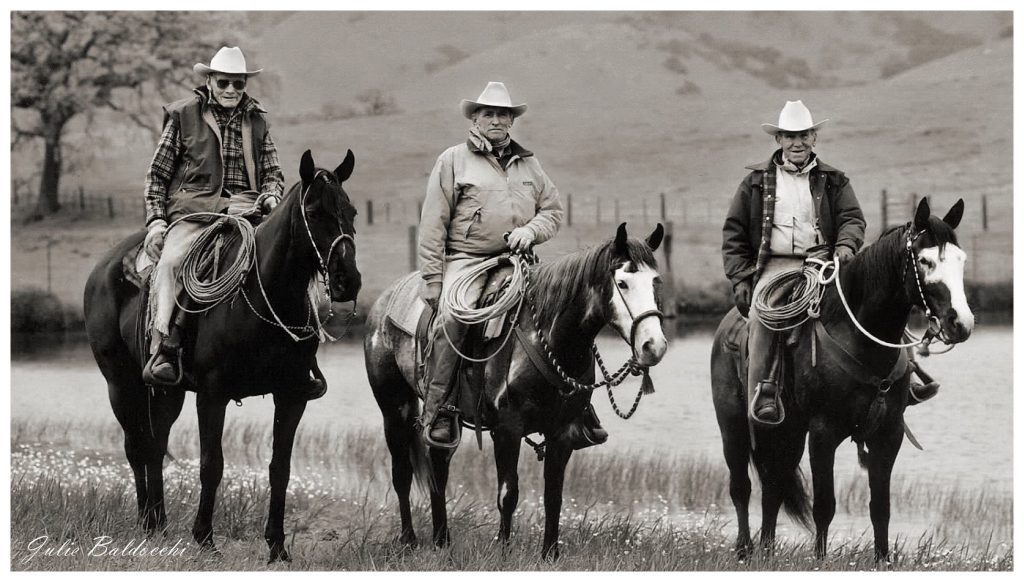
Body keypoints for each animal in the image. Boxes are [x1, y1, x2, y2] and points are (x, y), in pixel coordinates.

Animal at [84, 149, 364, 565]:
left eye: (352, 211)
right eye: (313, 212)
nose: (349, 281)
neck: (264, 297)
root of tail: (104, 267)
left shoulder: (292, 395)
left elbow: (280, 468)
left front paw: (277, 546)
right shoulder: (212, 395)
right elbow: (211, 465)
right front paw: (204, 538)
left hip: (167, 392)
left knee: (155, 444)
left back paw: (160, 523)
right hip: (120, 384)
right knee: (136, 447)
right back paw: (146, 523)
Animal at [364, 224, 667, 557]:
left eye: (656, 281)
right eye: (623, 283)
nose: (654, 346)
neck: (548, 338)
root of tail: (384, 302)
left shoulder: (562, 433)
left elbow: (553, 496)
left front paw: (550, 554)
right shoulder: (507, 429)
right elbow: (508, 493)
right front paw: (503, 549)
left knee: (438, 467)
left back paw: (442, 539)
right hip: (394, 408)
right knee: (402, 473)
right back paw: (409, 539)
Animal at [708, 197, 970, 561]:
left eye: (961, 260)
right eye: (926, 260)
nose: (961, 323)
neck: (860, 337)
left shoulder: (889, 434)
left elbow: (881, 507)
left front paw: (882, 560)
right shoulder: (823, 432)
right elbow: (824, 506)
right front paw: (819, 561)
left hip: (788, 432)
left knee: (773, 487)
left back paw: (768, 550)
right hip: (733, 426)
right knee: (741, 488)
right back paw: (746, 549)